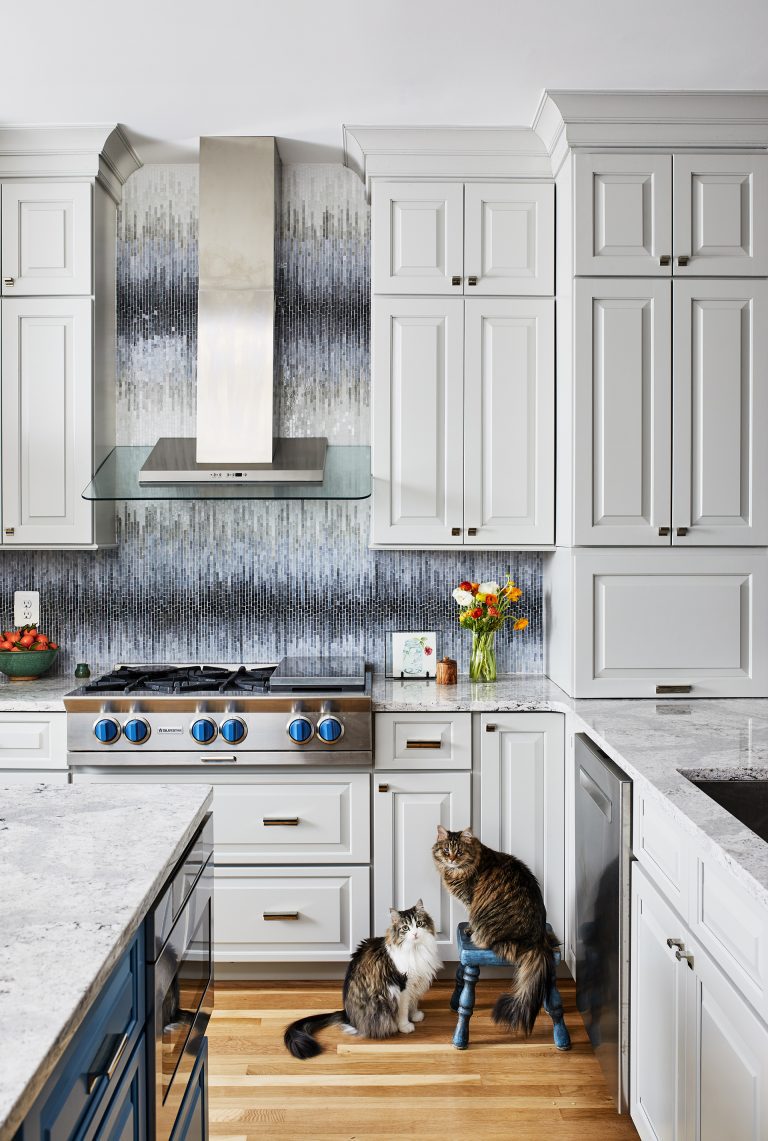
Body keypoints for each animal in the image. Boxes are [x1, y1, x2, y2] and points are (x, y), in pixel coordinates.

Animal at [281, 899, 438, 1058]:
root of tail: (347, 1014)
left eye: (419, 923)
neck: (416, 949)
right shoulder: (402, 984)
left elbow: (413, 1002)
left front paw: (415, 1015)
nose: (415, 933)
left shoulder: (416, 982)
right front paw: (405, 1026)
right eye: (405, 928)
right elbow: (404, 1009)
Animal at [431, 826, 552, 1040]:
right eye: (446, 851)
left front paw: (468, 929)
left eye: (459, 852)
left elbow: (470, 917)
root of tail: (536, 938)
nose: (451, 859)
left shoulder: (470, 900)